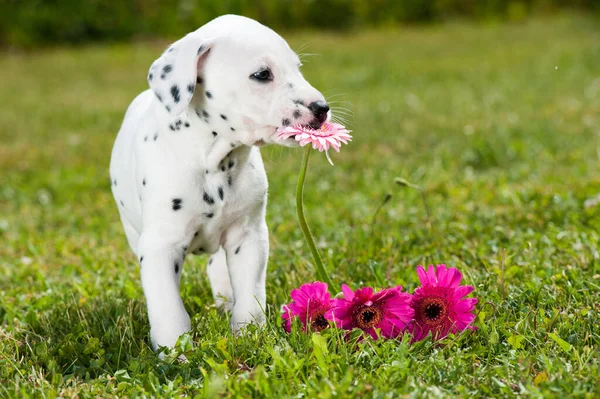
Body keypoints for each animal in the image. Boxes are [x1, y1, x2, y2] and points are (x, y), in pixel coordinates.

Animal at [110, 14, 330, 352]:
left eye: (297, 67)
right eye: (262, 74)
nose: (321, 108)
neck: (214, 159)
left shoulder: (250, 236)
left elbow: (250, 296)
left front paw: (249, 335)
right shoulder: (160, 247)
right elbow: (168, 308)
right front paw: (175, 353)